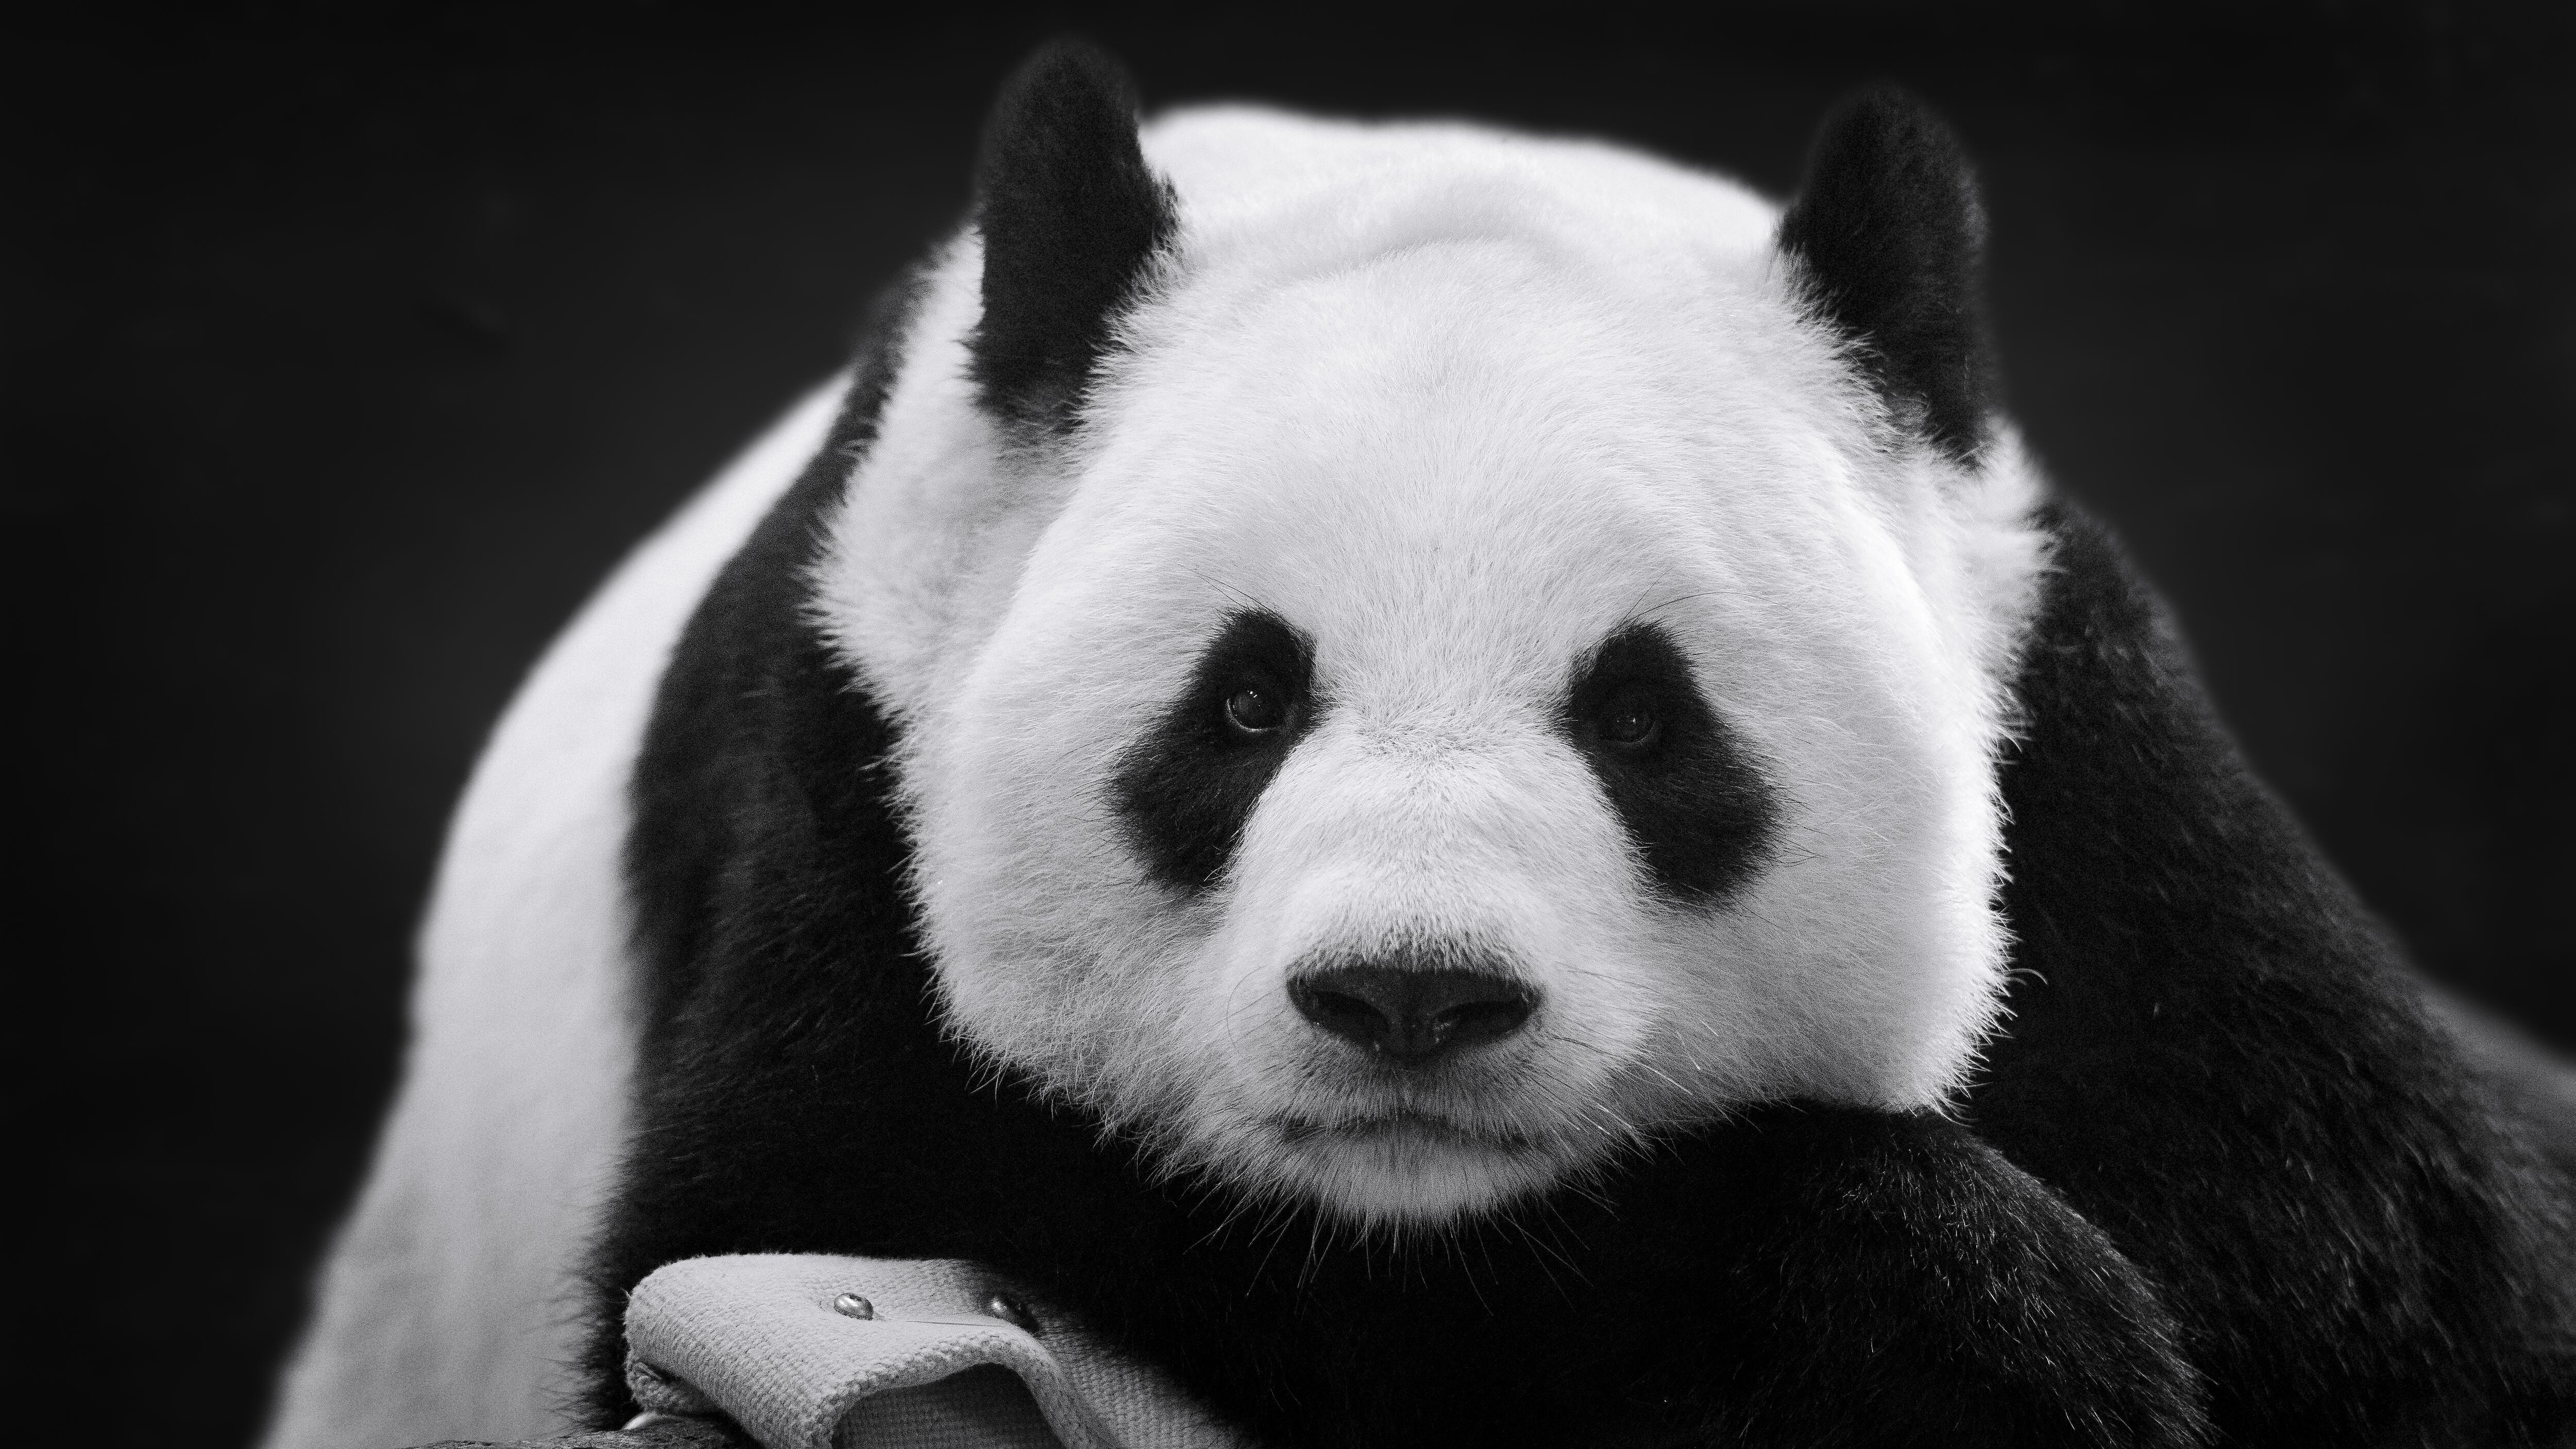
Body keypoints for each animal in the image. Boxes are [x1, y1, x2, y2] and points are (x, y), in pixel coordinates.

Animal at [266, 40, 2575, 1449]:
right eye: (1244, 701)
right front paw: (1945, 1316)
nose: (1408, 997)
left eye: (1643, 716)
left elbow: (2406, 1292)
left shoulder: (2118, 830)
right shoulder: (850, 782)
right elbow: (826, 1206)